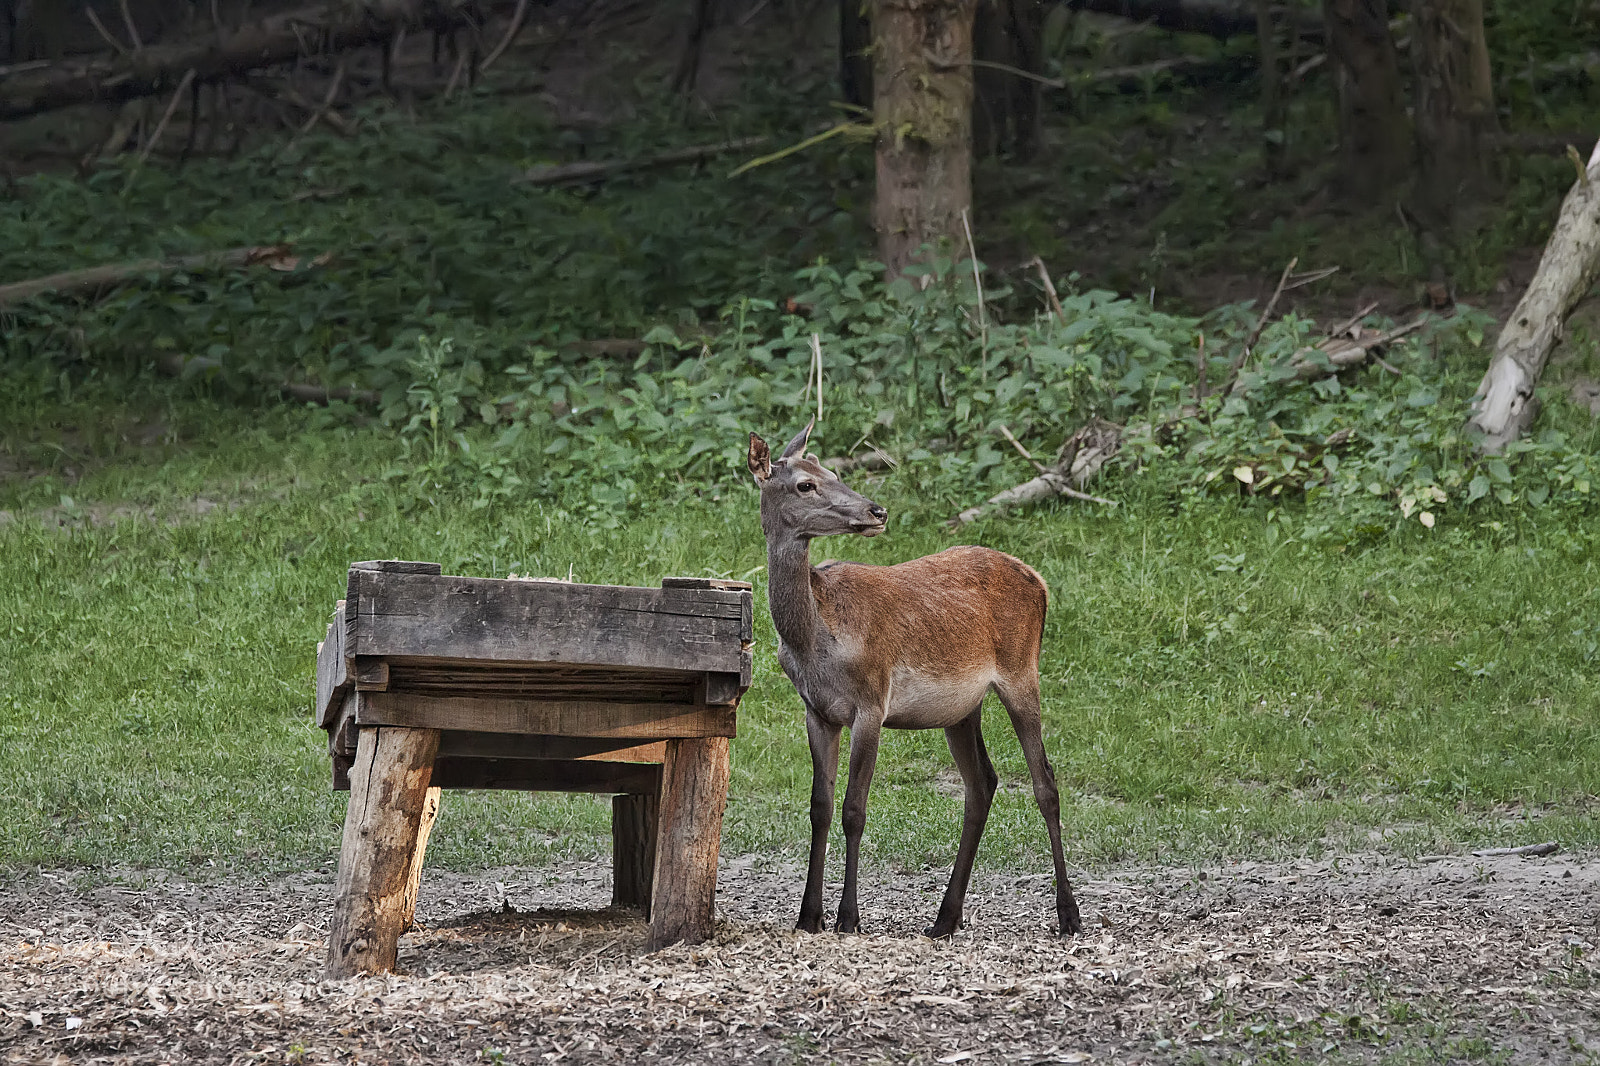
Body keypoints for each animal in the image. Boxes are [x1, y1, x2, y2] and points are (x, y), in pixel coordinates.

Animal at [747, 421, 1083, 939]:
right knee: (982, 783)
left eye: (834, 472)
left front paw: (848, 918)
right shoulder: (817, 711)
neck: (814, 640)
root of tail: (1040, 579)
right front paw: (808, 917)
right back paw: (945, 917)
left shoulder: (871, 701)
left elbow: (854, 810)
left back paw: (1069, 915)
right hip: (962, 707)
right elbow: (819, 808)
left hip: (1022, 671)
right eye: (806, 483)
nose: (877, 510)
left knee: (1045, 782)